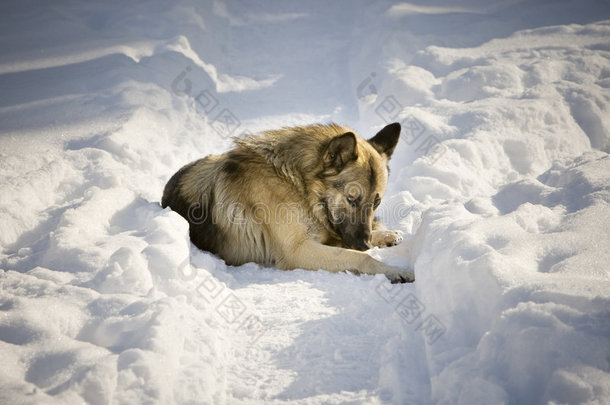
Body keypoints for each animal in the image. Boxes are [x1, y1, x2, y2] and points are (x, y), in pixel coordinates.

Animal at [160, 121, 414, 282]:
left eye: (376, 202)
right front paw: (393, 270)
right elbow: (359, 257)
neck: (298, 184)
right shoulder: (298, 251)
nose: (364, 243)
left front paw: (384, 236)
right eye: (352, 199)